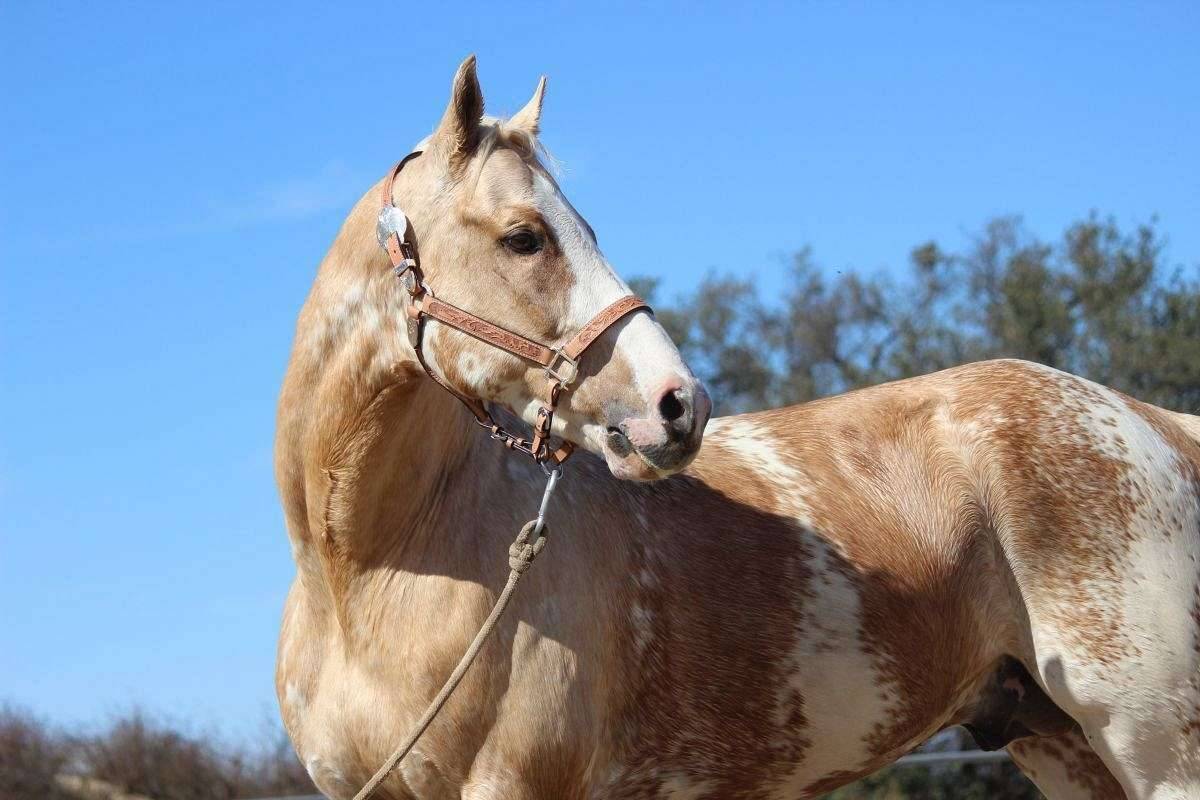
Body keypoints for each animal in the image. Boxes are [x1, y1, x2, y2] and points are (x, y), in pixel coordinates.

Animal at [276, 57, 1200, 800]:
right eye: (523, 237)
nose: (678, 403)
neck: (374, 569)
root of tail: (1155, 423)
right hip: (1061, 742)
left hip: (1155, 744)